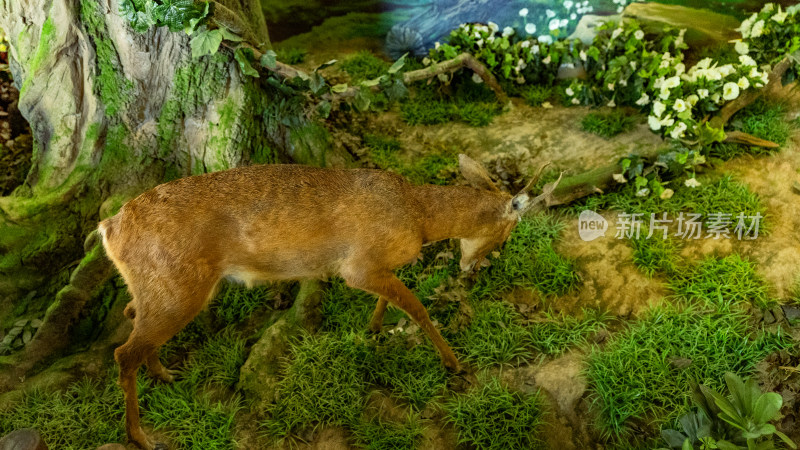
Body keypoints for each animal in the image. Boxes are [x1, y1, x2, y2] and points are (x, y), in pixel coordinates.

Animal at [98, 153, 564, 448]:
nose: (475, 267)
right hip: (178, 287)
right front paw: (455, 364)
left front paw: (373, 330)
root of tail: (108, 227)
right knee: (123, 351)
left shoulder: (373, 267)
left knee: (132, 319)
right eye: (507, 234)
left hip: (163, 289)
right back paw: (141, 437)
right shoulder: (357, 266)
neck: (418, 216)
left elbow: (391, 302)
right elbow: (416, 306)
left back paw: (166, 375)